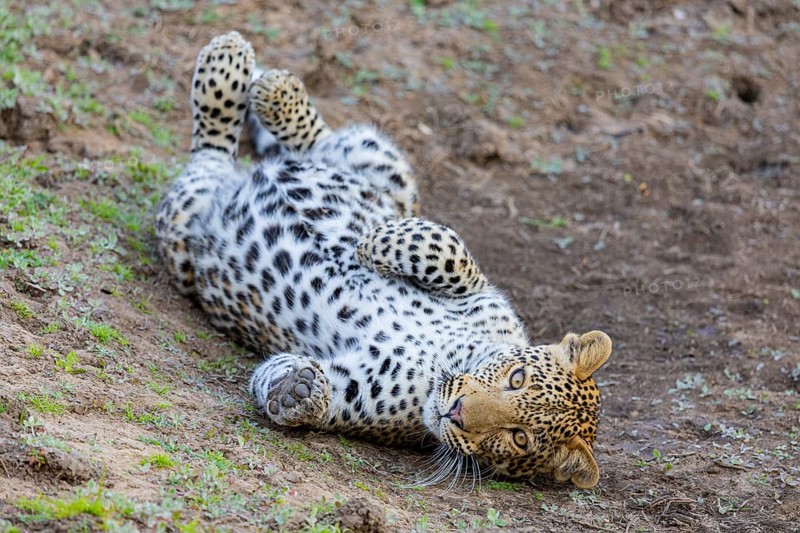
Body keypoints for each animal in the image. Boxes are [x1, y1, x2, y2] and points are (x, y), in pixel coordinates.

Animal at [156, 31, 613, 489]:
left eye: (519, 438)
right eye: (516, 379)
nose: (457, 412)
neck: (445, 361)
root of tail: (241, 180)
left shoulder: (357, 391)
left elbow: (307, 388)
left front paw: (295, 391)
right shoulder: (483, 294)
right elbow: (446, 246)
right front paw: (372, 242)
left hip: (183, 227)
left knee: (212, 149)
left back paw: (233, 74)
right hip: (379, 164)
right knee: (318, 142)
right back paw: (255, 76)